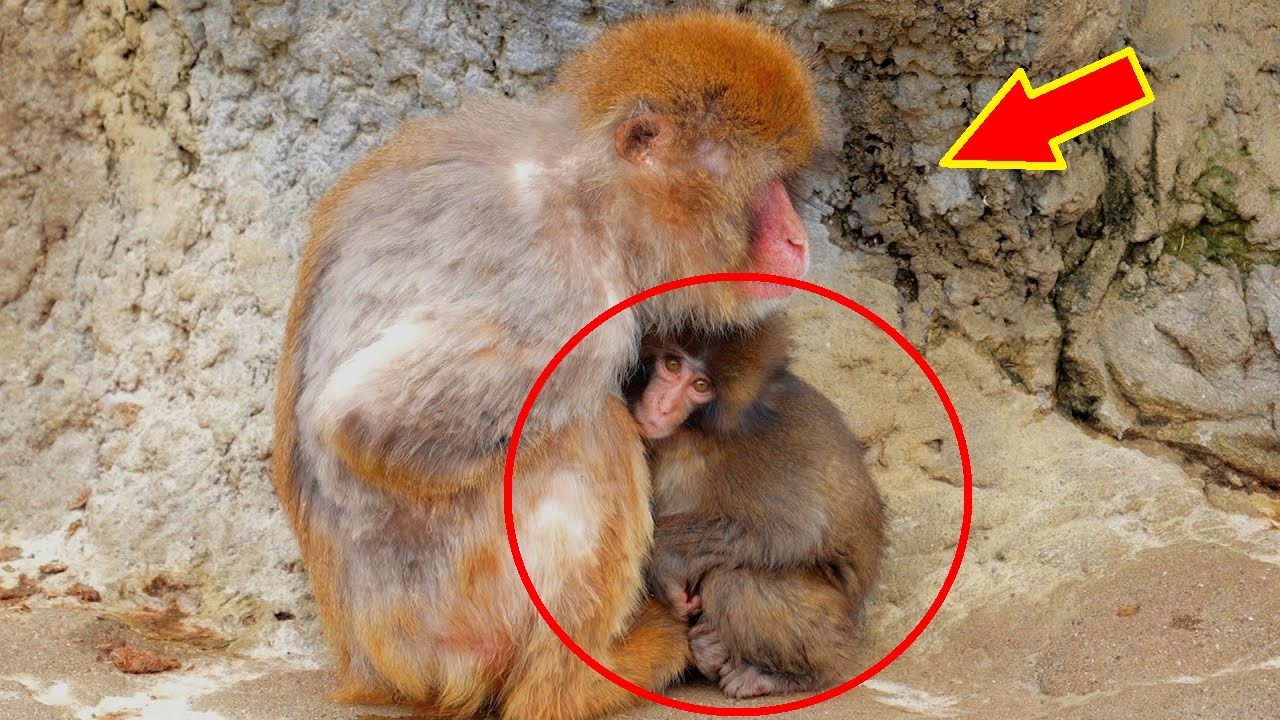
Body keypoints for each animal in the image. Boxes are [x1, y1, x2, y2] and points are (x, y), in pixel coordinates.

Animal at [272, 12, 826, 720]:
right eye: (765, 186)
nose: (796, 239)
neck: (590, 194)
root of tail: (373, 662)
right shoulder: (569, 291)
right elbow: (363, 419)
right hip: (462, 617)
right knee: (589, 428)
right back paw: (575, 682)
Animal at [626, 316, 885, 699]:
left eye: (700, 385)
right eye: (672, 365)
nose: (662, 406)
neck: (697, 429)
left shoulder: (768, 447)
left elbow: (795, 530)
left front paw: (666, 559)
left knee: (734, 579)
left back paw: (794, 675)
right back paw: (710, 649)